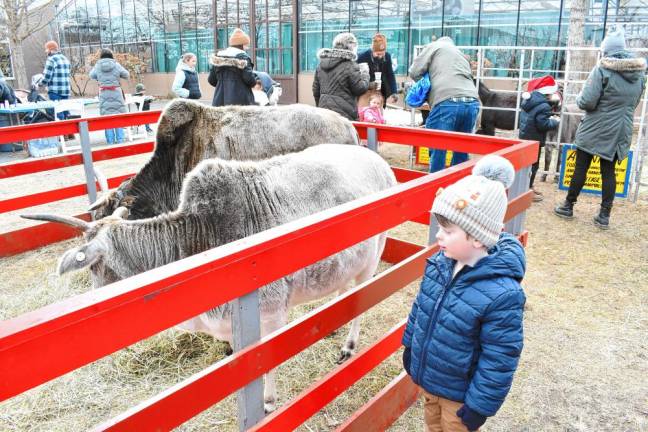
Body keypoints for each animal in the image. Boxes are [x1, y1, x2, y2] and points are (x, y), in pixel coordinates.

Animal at [25, 144, 394, 412]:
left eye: (92, 267)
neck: (198, 237)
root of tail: (379, 161)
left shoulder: (271, 312)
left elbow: (267, 365)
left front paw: (268, 403)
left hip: (373, 255)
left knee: (363, 297)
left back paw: (348, 346)